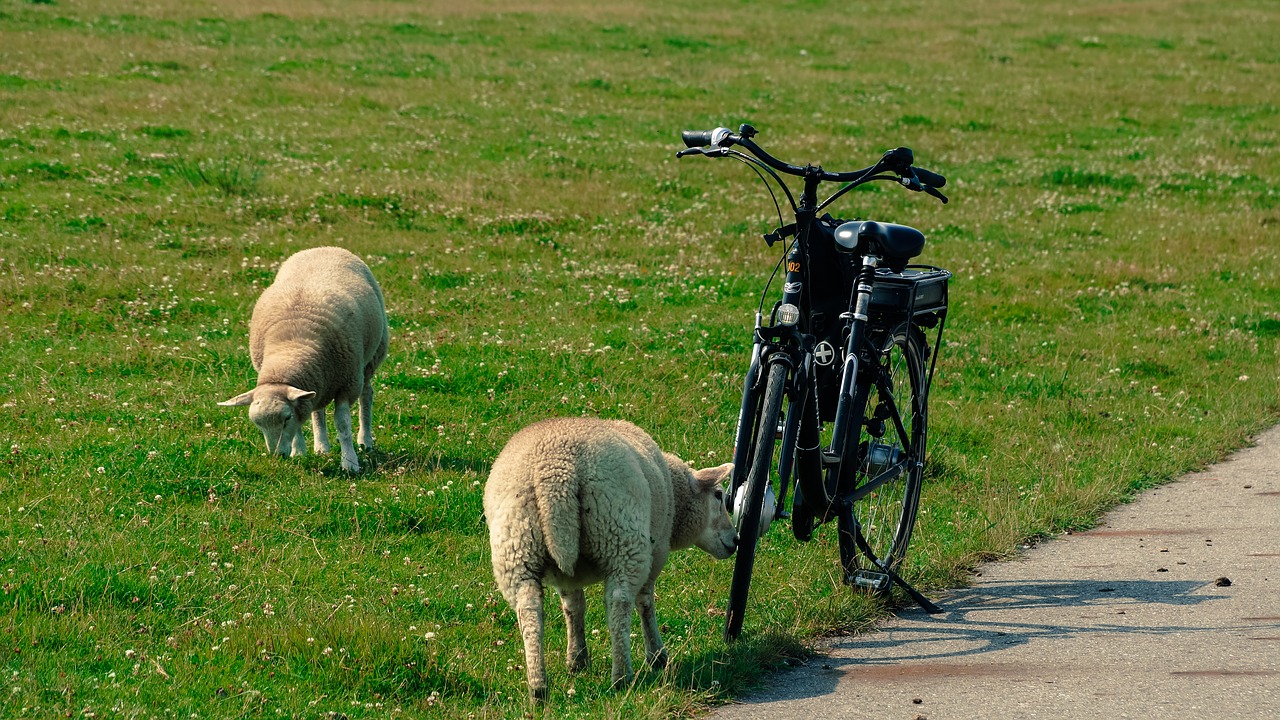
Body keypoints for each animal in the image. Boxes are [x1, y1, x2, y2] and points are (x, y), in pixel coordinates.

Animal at [217, 245, 386, 471]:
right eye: (258, 424)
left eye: (286, 417)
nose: (278, 456)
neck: (291, 350)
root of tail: (323, 247)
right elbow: (302, 423)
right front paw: (298, 451)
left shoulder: (348, 383)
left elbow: (343, 425)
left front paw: (349, 462)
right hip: (321, 378)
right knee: (317, 409)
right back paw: (322, 446)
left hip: (370, 359)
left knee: (366, 396)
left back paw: (365, 441)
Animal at [481, 412, 742, 696]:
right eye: (719, 495)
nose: (736, 540)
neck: (674, 494)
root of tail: (555, 471)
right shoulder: (656, 553)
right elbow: (645, 604)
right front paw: (657, 656)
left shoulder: (566, 577)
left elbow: (574, 607)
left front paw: (577, 658)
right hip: (621, 536)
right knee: (619, 603)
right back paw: (621, 676)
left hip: (517, 547)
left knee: (529, 610)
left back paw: (538, 687)